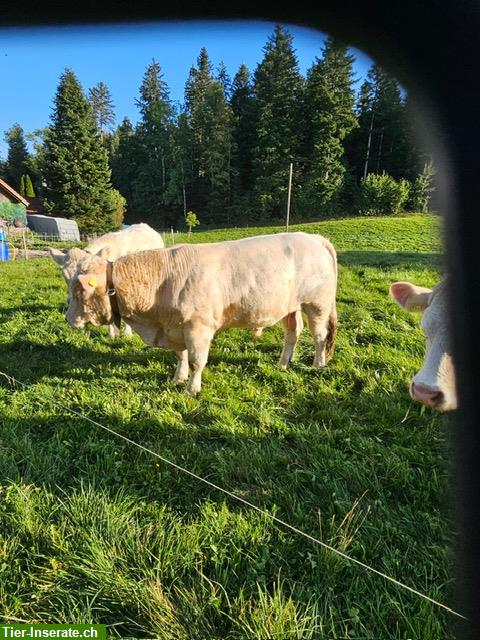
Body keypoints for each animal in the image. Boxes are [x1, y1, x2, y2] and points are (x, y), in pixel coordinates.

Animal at [64, 232, 338, 396]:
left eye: (79, 288)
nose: (67, 318)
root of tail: (314, 238)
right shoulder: (176, 327)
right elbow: (181, 356)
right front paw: (178, 378)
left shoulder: (199, 328)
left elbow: (197, 360)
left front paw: (191, 389)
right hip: (290, 307)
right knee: (292, 334)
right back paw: (282, 364)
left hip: (317, 304)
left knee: (320, 336)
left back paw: (318, 364)